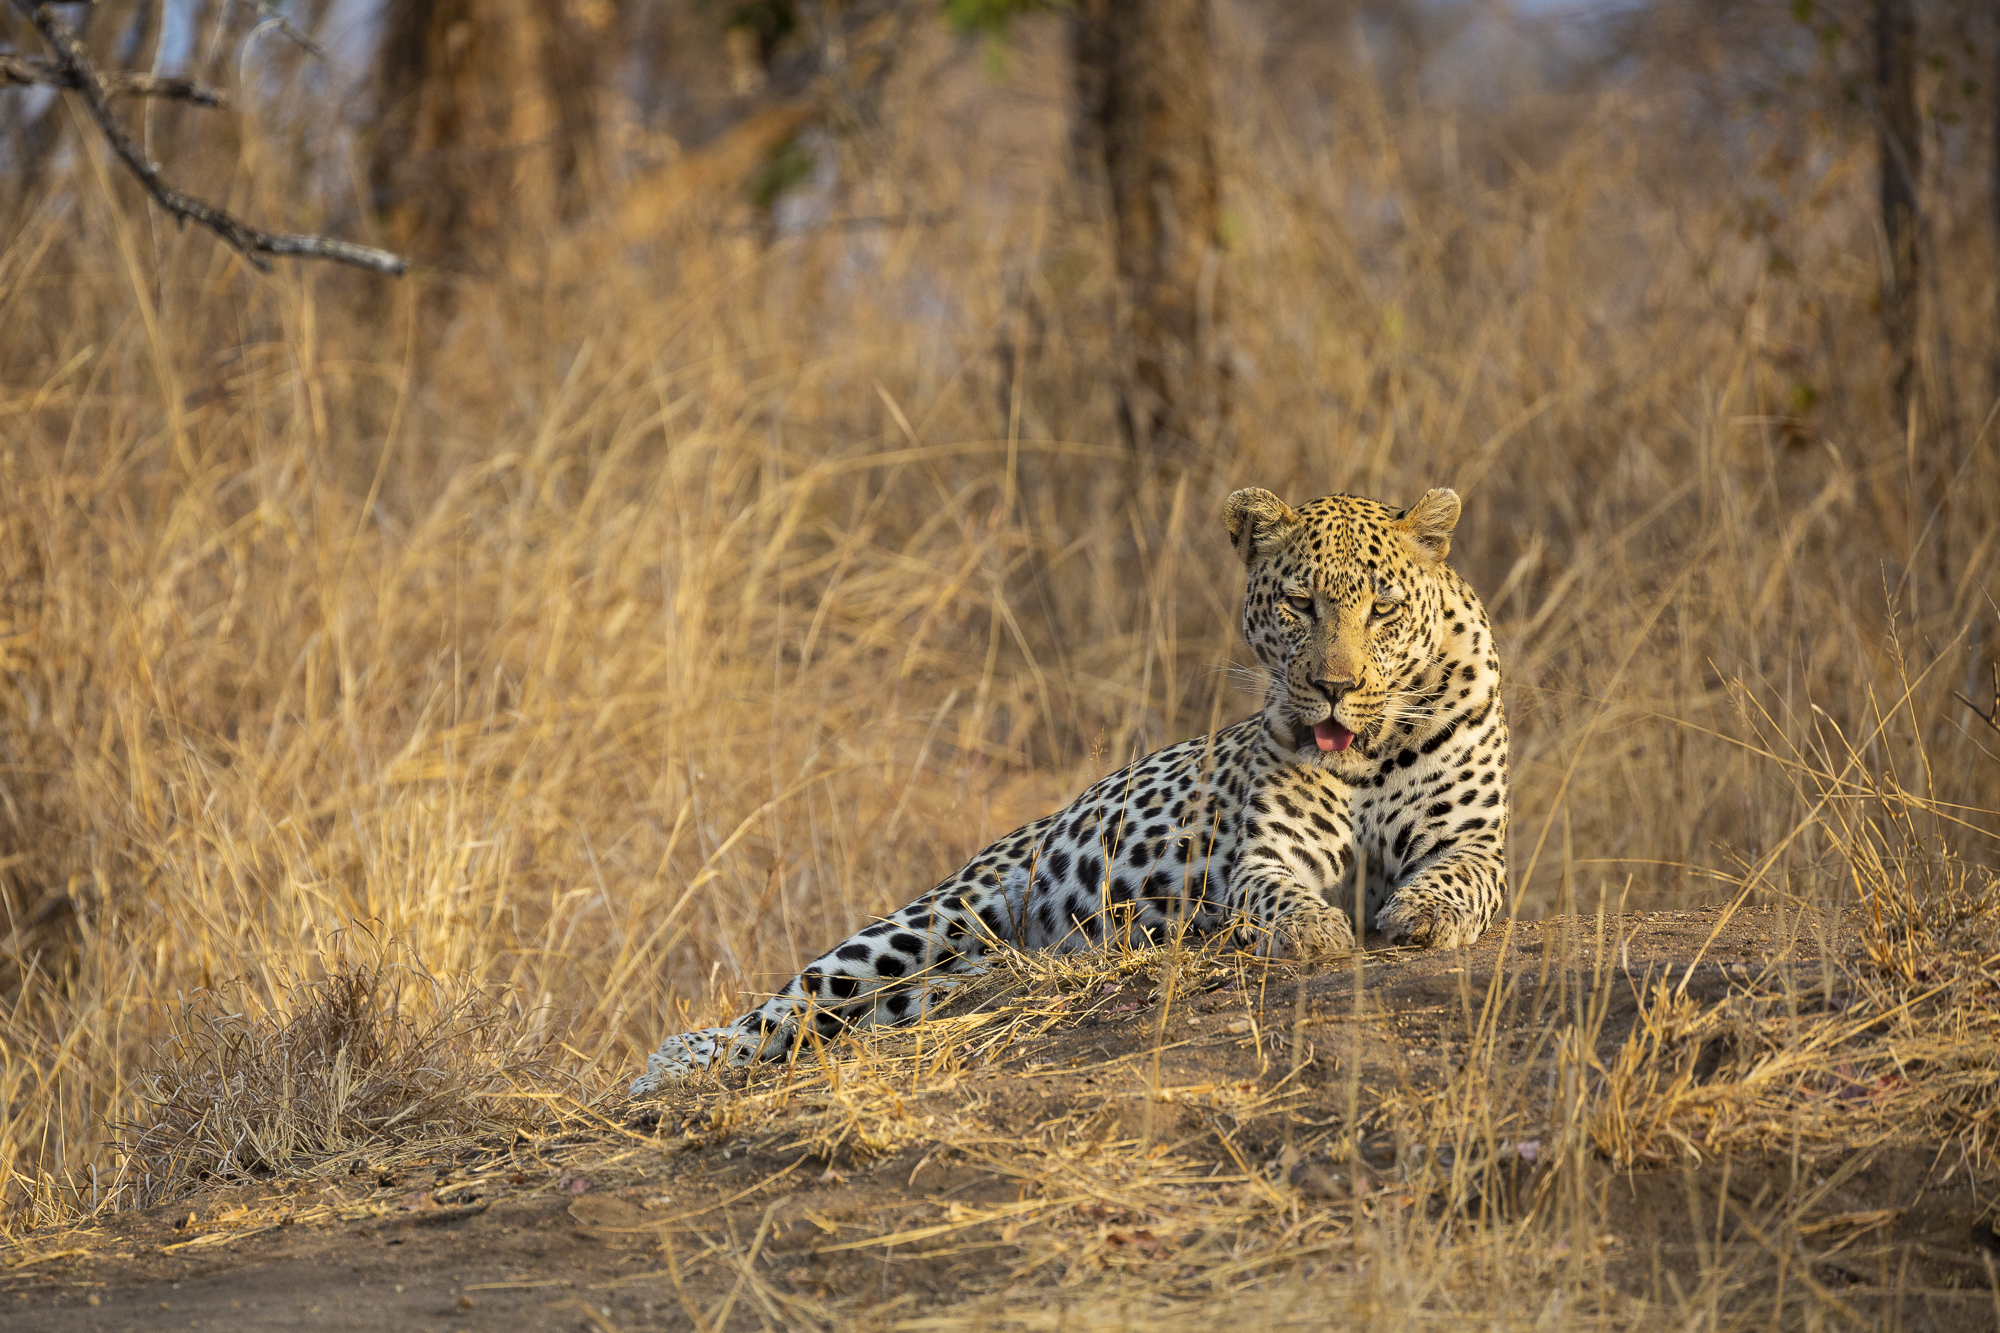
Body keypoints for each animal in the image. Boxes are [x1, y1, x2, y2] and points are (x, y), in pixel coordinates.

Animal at [630, 485, 1509, 1096]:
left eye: (1383, 608)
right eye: (1300, 603)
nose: (1334, 687)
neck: (1368, 750)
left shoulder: (1476, 842)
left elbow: (1458, 875)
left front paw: (1423, 914)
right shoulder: (1267, 855)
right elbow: (1276, 893)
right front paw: (1316, 930)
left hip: (946, 981)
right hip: (935, 916)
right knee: (793, 1001)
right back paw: (677, 1063)